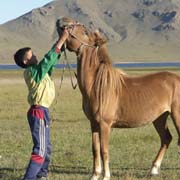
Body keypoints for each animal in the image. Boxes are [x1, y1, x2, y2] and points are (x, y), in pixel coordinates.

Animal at [56, 16, 180, 179]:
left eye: (85, 32)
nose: (62, 20)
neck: (97, 86)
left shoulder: (105, 124)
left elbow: (104, 150)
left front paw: (106, 175)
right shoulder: (93, 124)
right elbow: (95, 149)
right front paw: (95, 174)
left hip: (176, 116)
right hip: (160, 118)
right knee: (166, 138)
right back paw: (153, 169)